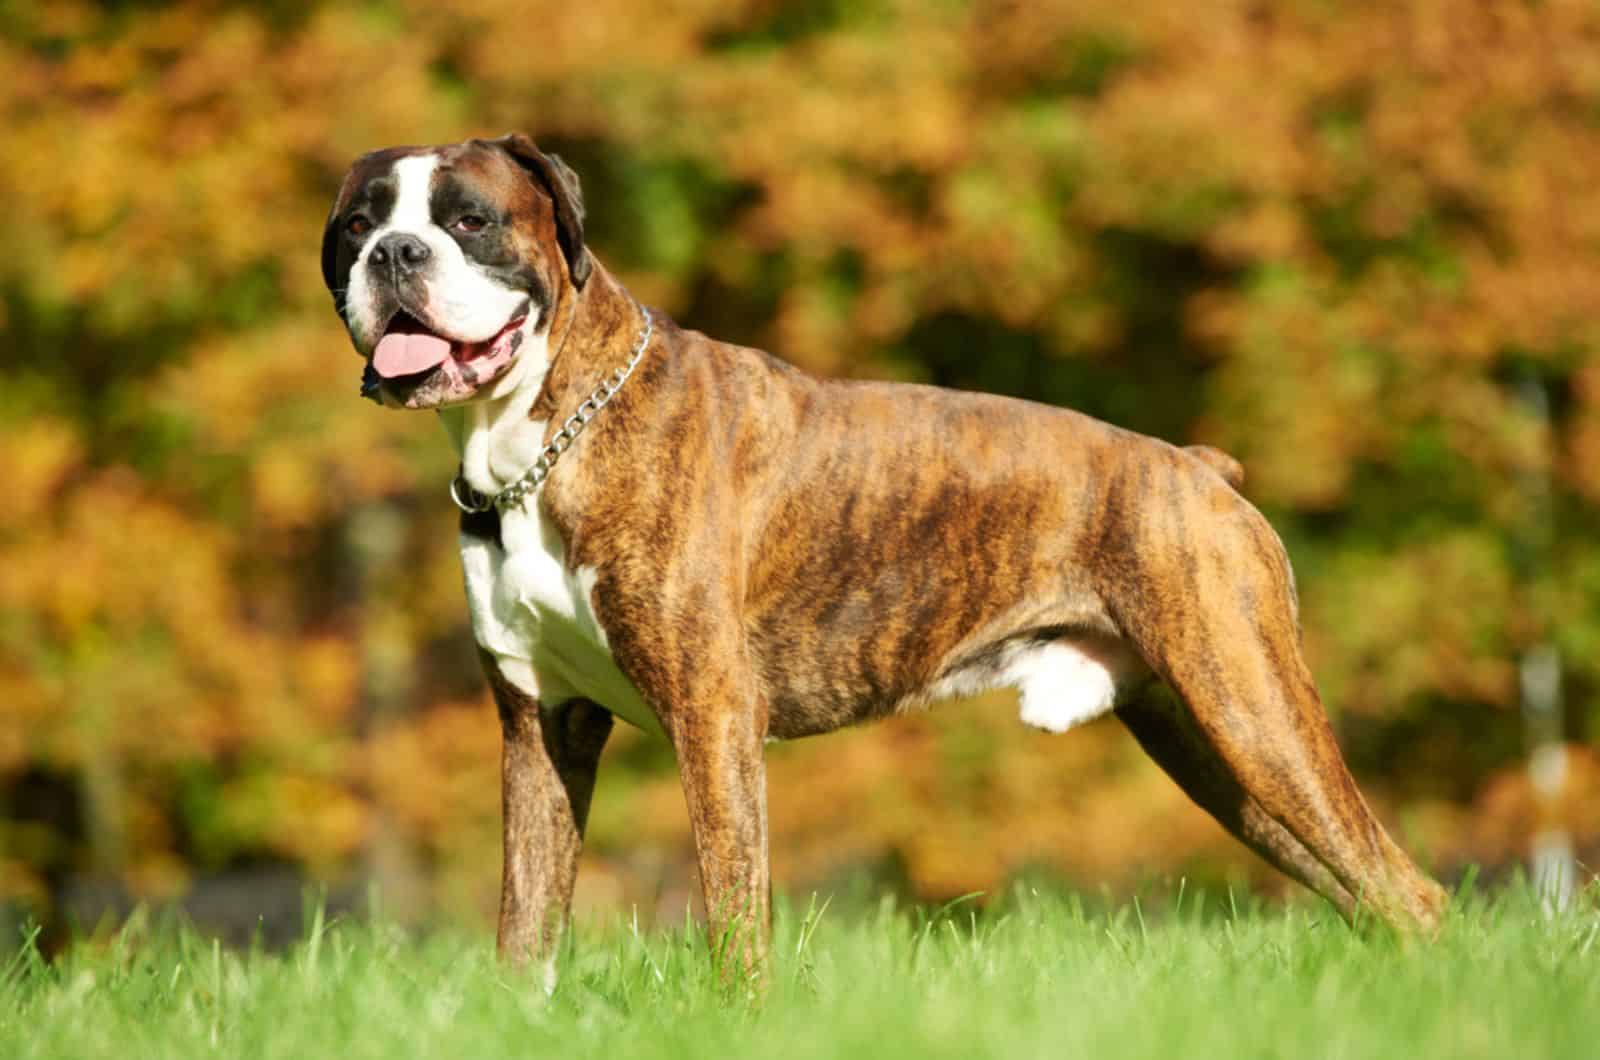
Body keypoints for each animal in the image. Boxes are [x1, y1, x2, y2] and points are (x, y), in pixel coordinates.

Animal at [321, 136, 1452, 986]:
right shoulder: (541, 729)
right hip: (1215, 750)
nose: (397, 253)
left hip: (1251, 710)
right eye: (356, 227)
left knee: (1406, 890)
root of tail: (1195, 467)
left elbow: (732, 906)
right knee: (1369, 891)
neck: (543, 437)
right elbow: (527, 923)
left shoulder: (712, 717)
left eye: (471, 219)